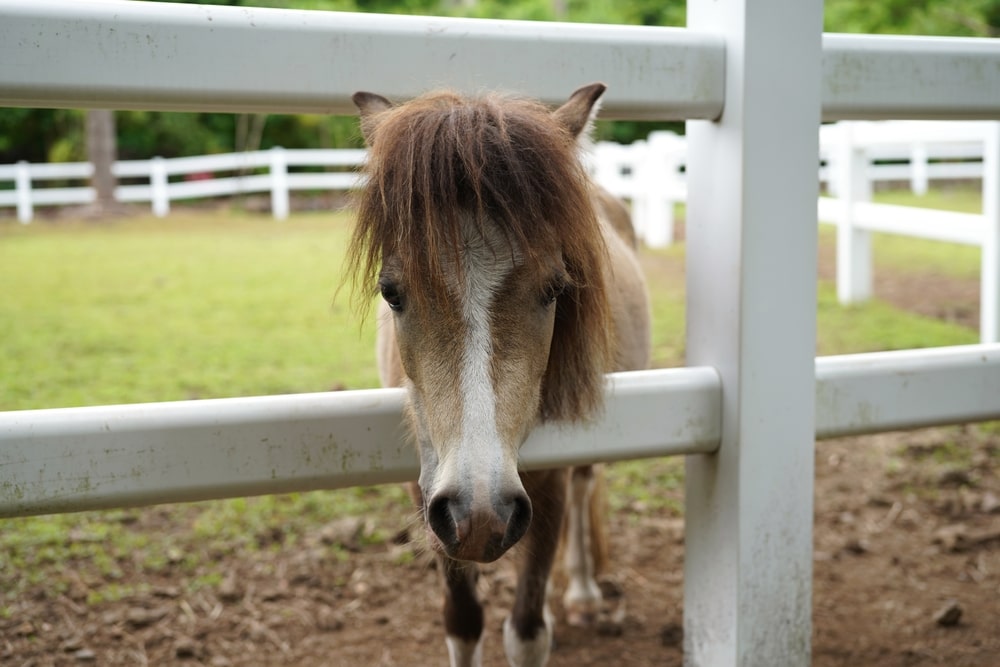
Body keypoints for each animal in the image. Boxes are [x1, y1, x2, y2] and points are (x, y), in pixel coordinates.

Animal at [348, 83, 652, 667]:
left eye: (556, 288)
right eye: (391, 292)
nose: (481, 512)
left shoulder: (546, 480)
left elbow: (528, 629)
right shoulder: (429, 488)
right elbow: (463, 622)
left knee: (585, 491)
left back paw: (582, 595)